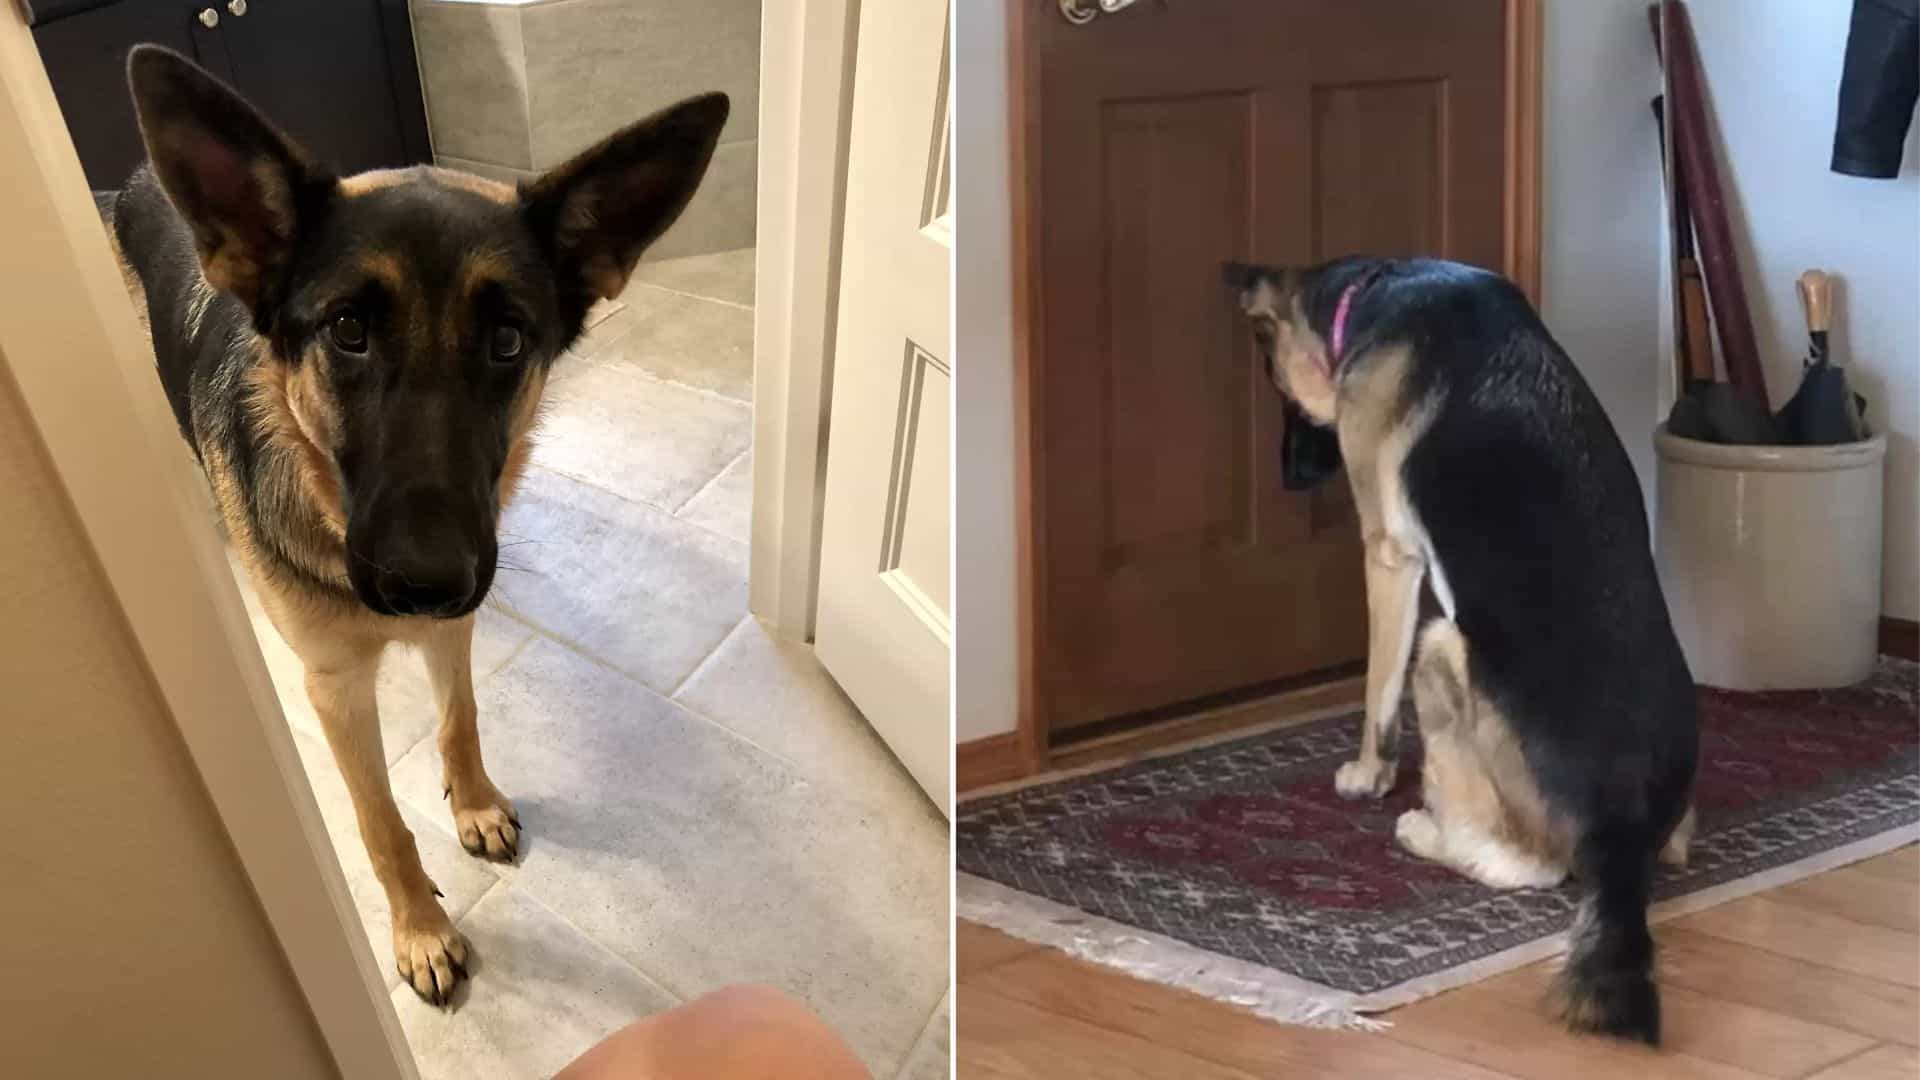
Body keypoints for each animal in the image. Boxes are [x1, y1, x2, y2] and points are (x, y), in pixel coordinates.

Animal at [107, 46, 725, 999]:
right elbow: (379, 822)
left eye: (508, 340)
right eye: (348, 330)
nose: (423, 581)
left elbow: (458, 718)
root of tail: (134, 175)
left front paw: (472, 804)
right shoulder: (334, 690)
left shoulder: (455, 626)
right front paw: (420, 931)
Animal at [1228, 255, 1697, 1037]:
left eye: (1280, 391)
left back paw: (1426, 830)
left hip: (1440, 647)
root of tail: (1623, 835)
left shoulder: (1389, 557)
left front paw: (1368, 775)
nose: (1288, 479)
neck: (1378, 289)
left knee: (1527, 864)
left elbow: (1376, 694)